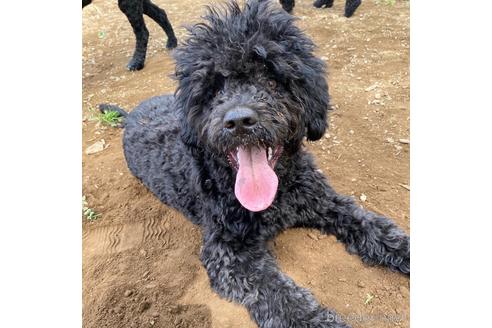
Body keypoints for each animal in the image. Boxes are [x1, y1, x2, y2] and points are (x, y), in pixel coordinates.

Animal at [105, 0, 410, 326]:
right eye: (214, 88)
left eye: (272, 79)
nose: (238, 120)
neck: (275, 199)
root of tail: (130, 115)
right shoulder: (230, 253)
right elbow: (281, 297)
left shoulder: (326, 201)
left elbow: (376, 227)